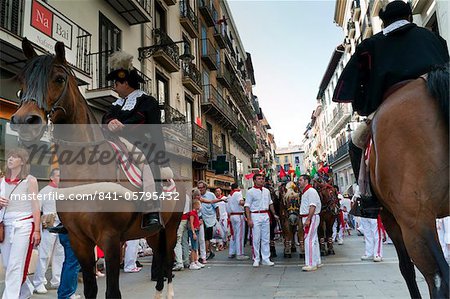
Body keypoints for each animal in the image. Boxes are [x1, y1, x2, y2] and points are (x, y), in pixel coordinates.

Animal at [8, 39, 182, 299]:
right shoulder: (79, 241)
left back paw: (168, 292)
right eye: (22, 80)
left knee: (169, 258)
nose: (24, 121)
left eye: (59, 78)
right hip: (153, 232)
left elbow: (112, 292)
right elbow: (90, 288)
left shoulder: (110, 240)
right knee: (160, 256)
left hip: (170, 227)